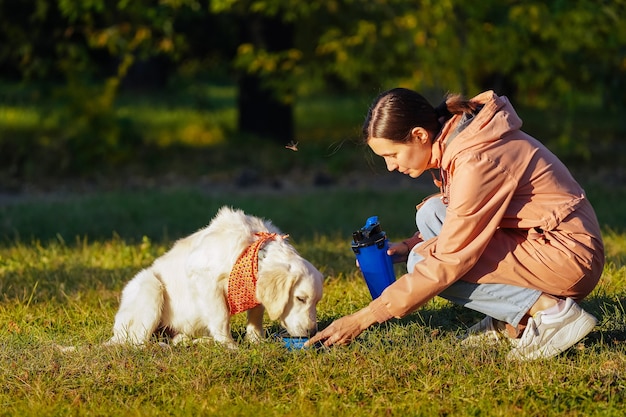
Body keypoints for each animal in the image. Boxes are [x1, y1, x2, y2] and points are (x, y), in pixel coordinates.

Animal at [103, 206, 322, 348]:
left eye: (316, 302)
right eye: (300, 298)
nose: (312, 331)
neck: (252, 248)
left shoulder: (253, 286)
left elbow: (256, 314)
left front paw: (256, 340)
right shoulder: (205, 278)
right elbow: (220, 316)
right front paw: (230, 346)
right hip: (150, 286)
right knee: (136, 342)